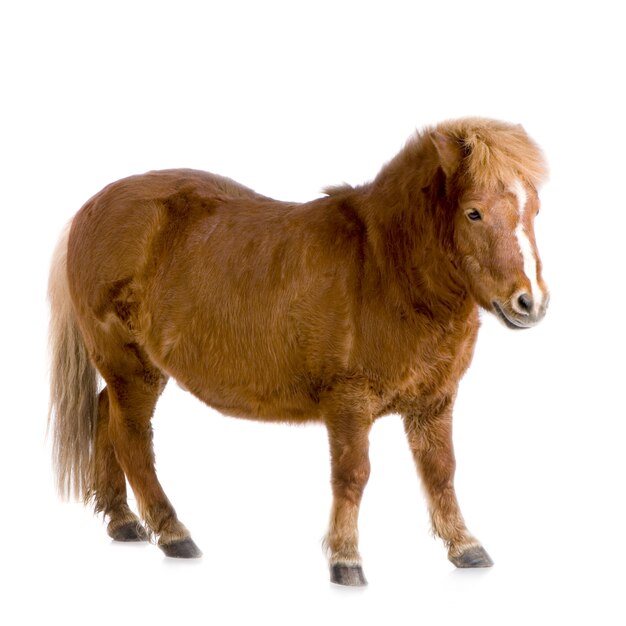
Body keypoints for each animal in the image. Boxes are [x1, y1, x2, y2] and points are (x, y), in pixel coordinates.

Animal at [47, 117, 544, 584]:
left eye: (534, 209)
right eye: (473, 213)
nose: (530, 302)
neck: (386, 266)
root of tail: (90, 209)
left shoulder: (434, 401)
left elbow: (441, 471)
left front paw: (465, 547)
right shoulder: (349, 402)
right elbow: (352, 474)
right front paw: (346, 559)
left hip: (130, 369)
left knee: (104, 416)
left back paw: (123, 521)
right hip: (131, 366)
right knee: (131, 439)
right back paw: (172, 533)